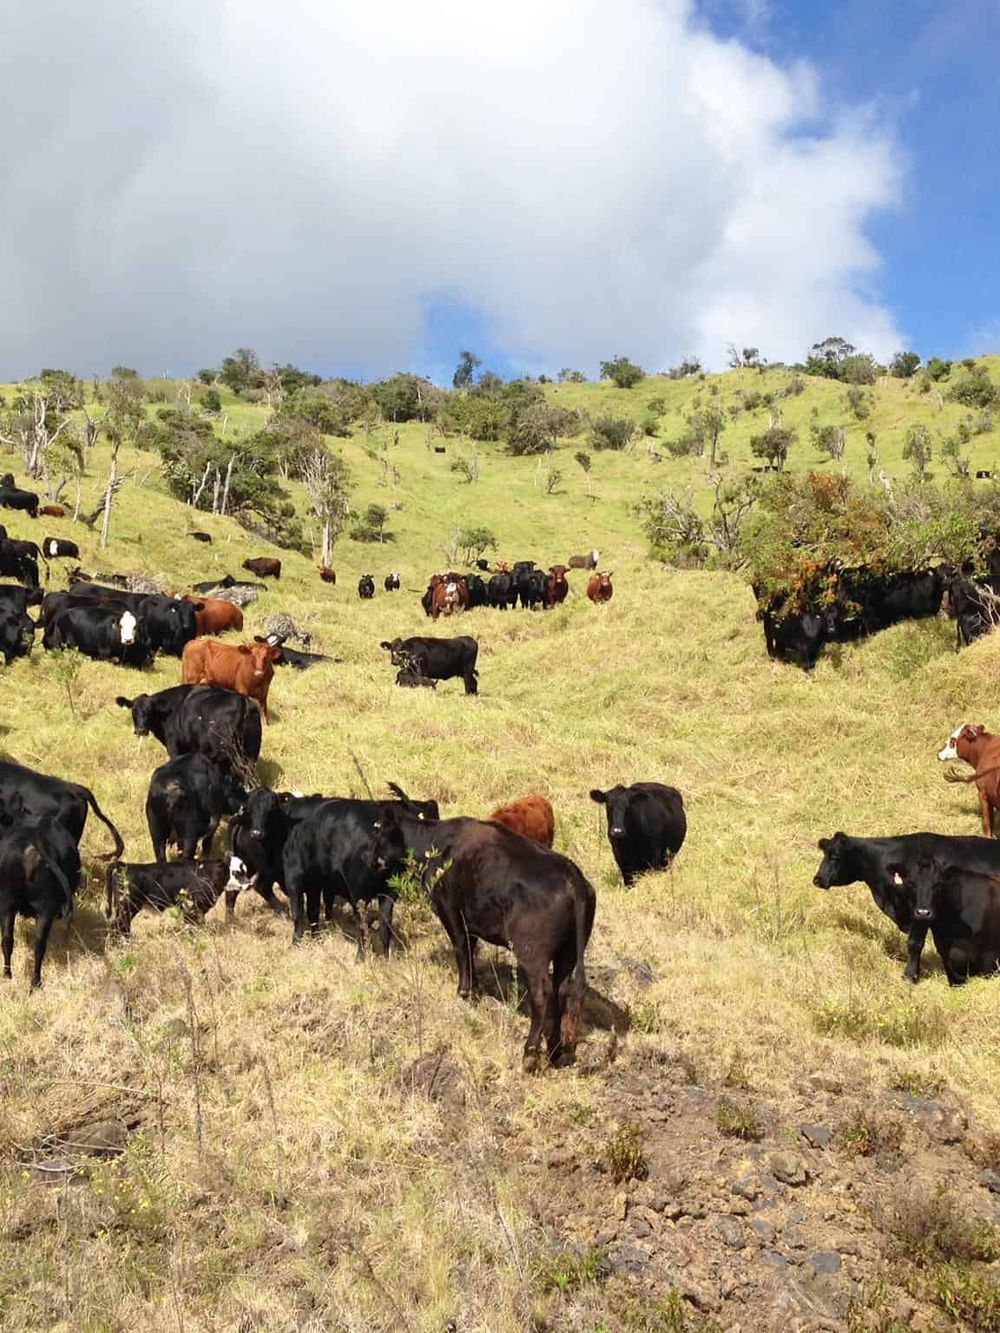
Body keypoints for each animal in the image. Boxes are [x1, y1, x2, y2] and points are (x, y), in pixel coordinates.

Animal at [0, 818, 80, 988]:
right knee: (39, 944)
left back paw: (8, 975)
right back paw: (35, 982)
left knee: (7, 940)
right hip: (45, 909)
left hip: (8, 905)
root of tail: (33, 847)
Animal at [106, 857, 251, 935]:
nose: (249, 884)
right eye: (236, 872)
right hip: (127, 907)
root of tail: (125, 865)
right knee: (118, 926)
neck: (205, 873)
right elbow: (191, 925)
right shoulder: (190, 908)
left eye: (245, 871)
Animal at [115, 684, 263, 773]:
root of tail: (242, 700)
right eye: (133, 711)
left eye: (149, 711)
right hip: (251, 754)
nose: (141, 730)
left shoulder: (173, 745)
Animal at [378, 811, 595, 1071]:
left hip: (532, 953)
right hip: (568, 952)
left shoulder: (450, 911)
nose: (375, 860)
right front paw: (474, 986)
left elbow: (461, 949)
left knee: (542, 992)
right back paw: (554, 1049)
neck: (434, 841)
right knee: (561, 989)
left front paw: (463, 992)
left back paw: (530, 1052)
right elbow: (471, 952)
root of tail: (573, 876)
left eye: (378, 831)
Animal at [813, 831, 1000, 982]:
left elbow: (914, 944)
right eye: (825, 854)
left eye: (835, 856)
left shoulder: (920, 913)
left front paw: (910, 975)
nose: (817, 879)